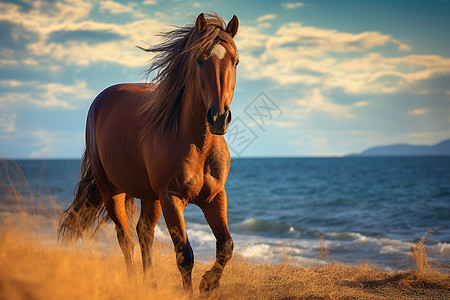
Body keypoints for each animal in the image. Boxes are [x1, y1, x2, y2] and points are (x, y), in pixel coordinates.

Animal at [59, 12, 239, 296]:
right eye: (200, 60)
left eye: (236, 61)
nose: (219, 117)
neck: (198, 145)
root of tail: (100, 101)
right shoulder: (172, 199)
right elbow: (184, 255)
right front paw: (192, 291)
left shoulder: (214, 197)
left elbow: (226, 246)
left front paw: (208, 284)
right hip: (112, 191)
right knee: (125, 237)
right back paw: (133, 284)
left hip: (149, 196)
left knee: (144, 232)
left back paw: (150, 284)